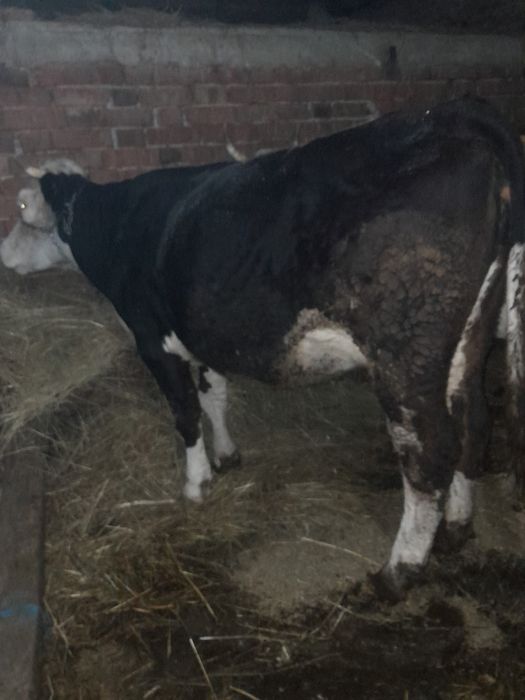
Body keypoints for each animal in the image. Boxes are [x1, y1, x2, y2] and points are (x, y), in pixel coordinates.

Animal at [2, 98, 524, 599]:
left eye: (24, 207)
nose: (4, 255)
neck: (118, 228)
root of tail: (459, 113)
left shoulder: (153, 340)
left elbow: (185, 412)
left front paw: (195, 483)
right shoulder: (201, 334)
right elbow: (214, 396)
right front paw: (227, 455)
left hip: (406, 351)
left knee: (428, 453)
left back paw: (398, 572)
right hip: (468, 339)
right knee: (474, 423)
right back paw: (457, 525)